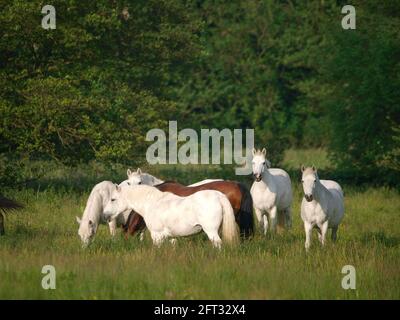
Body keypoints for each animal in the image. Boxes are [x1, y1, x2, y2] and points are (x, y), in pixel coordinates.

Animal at [104, 182, 239, 248]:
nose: (105, 214)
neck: (152, 203)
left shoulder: (157, 236)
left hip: (211, 231)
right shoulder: (172, 237)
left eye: (113, 199)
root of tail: (219, 196)